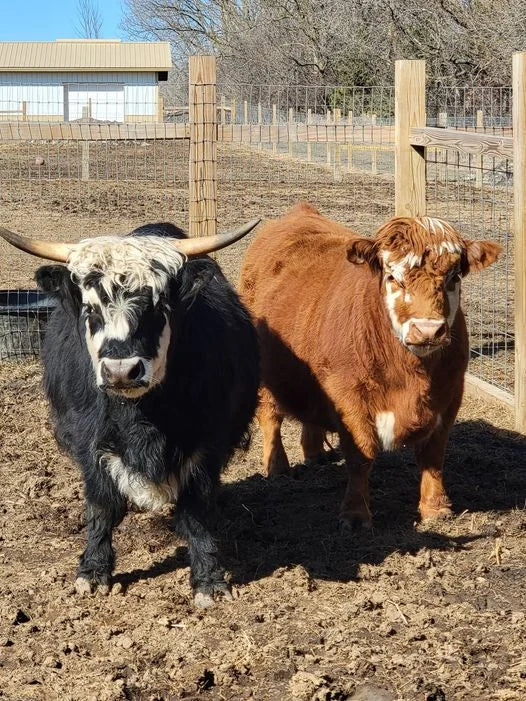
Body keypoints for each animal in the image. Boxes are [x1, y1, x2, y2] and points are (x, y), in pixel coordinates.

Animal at [0, 220, 261, 607]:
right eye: (90, 309)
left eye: (158, 305)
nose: (121, 370)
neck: (141, 421)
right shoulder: (89, 442)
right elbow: (102, 507)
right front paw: (93, 573)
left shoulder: (207, 443)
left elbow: (197, 511)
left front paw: (209, 580)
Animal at [239, 203, 501, 529]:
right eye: (392, 277)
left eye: (454, 277)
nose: (427, 330)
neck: (411, 374)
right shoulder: (348, 396)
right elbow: (360, 453)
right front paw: (355, 514)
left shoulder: (451, 394)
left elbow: (434, 454)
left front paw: (435, 508)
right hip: (265, 373)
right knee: (270, 417)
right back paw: (277, 466)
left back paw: (314, 453)